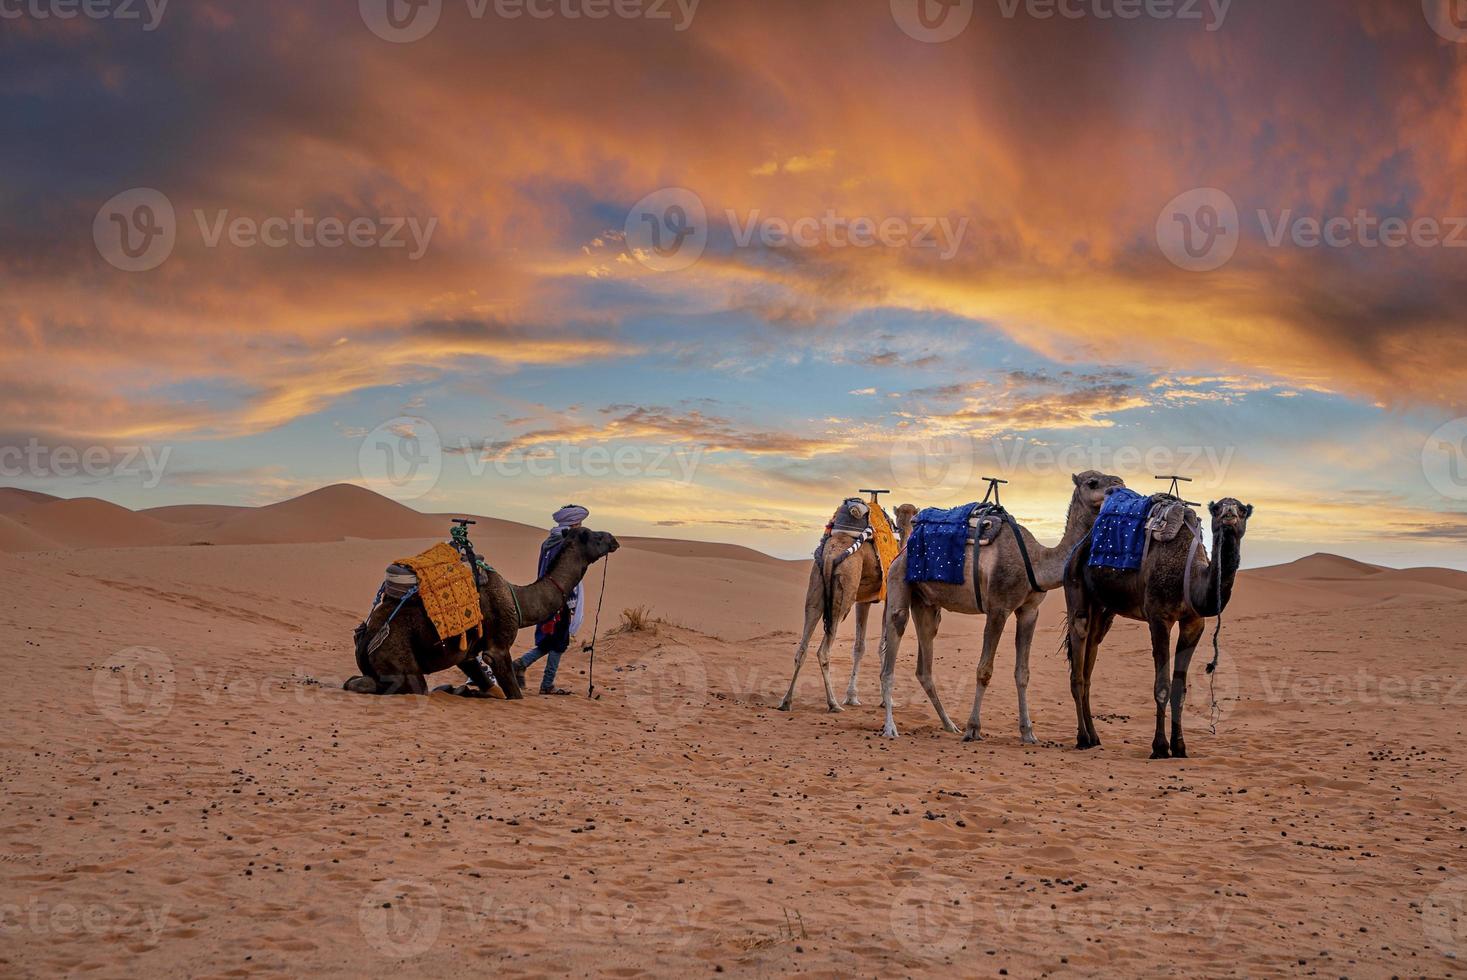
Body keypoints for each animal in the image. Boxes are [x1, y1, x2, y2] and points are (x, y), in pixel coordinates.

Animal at [344, 528, 619, 695]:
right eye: (594, 536)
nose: (613, 538)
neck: (518, 599)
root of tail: (367, 638)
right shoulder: (497, 647)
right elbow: (514, 694)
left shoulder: (467, 654)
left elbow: (488, 686)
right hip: (399, 660)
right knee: (405, 684)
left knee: (357, 681)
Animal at [774, 498, 909, 712]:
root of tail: (830, 555)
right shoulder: (888, 598)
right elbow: (883, 645)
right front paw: (887, 700)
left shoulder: (864, 601)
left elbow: (859, 646)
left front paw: (853, 697)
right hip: (844, 589)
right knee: (823, 651)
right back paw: (833, 703)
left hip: (816, 584)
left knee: (802, 647)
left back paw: (786, 701)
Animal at [874, 475, 1126, 742]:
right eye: (1093, 482)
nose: (1119, 487)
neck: (1036, 561)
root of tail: (902, 552)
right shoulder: (998, 608)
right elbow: (984, 670)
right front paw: (973, 728)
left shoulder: (1029, 611)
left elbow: (1023, 673)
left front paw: (1028, 733)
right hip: (898, 583)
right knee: (890, 658)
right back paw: (891, 727)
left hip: (927, 605)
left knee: (924, 667)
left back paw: (950, 724)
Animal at [1062, 498, 1255, 757]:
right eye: (1217, 509)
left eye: (1242, 510)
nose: (1229, 515)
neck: (1190, 577)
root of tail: (1079, 546)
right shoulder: (1158, 618)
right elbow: (1162, 686)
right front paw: (1160, 747)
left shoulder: (1193, 622)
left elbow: (1180, 689)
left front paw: (1180, 746)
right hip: (1074, 586)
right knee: (1078, 661)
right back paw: (1082, 738)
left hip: (1103, 608)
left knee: (1090, 655)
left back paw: (1094, 737)